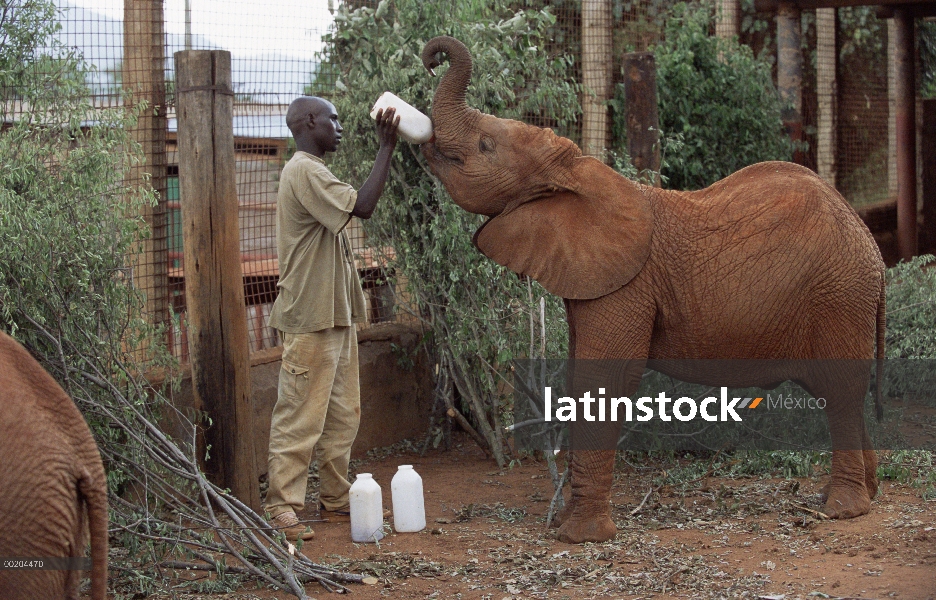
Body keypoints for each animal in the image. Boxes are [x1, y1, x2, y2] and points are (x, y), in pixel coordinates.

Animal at [422, 36, 884, 544]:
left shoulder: (626, 287)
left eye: (486, 145)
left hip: (839, 292)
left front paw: (579, 537)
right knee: (836, 391)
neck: (578, 171)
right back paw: (856, 495)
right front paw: (565, 524)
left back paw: (843, 509)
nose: (430, 57)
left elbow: (603, 381)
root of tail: (870, 241)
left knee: (840, 390)